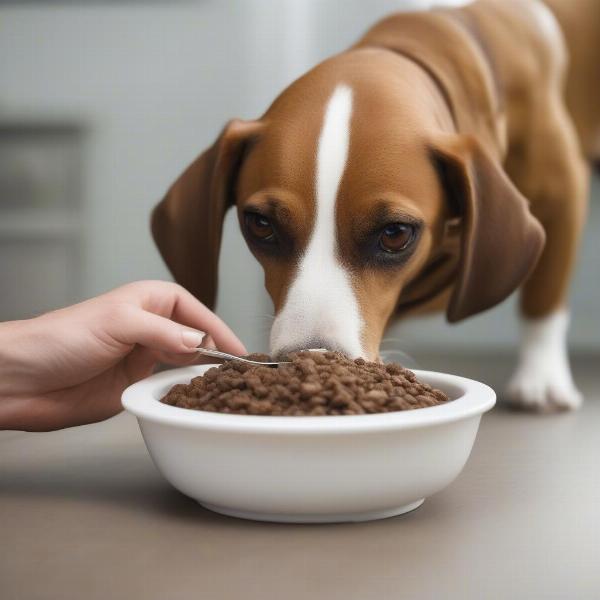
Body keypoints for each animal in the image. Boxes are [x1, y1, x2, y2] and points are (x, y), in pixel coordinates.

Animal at [152, 0, 596, 410]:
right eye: (261, 224)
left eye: (395, 234)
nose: (311, 356)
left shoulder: (563, 189)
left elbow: (545, 293)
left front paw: (542, 377)